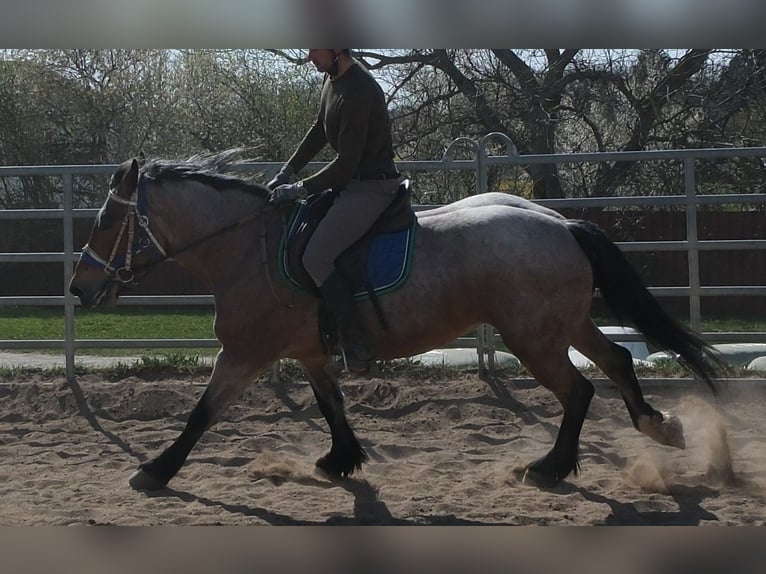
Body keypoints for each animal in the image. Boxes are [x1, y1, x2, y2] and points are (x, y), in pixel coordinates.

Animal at [69, 151, 726, 491]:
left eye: (106, 220)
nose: (79, 287)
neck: (243, 247)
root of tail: (561, 223)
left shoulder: (245, 353)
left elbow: (201, 413)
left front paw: (155, 470)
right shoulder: (309, 353)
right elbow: (331, 405)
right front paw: (340, 459)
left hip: (534, 338)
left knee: (580, 390)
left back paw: (551, 466)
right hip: (564, 326)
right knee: (614, 362)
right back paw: (659, 427)